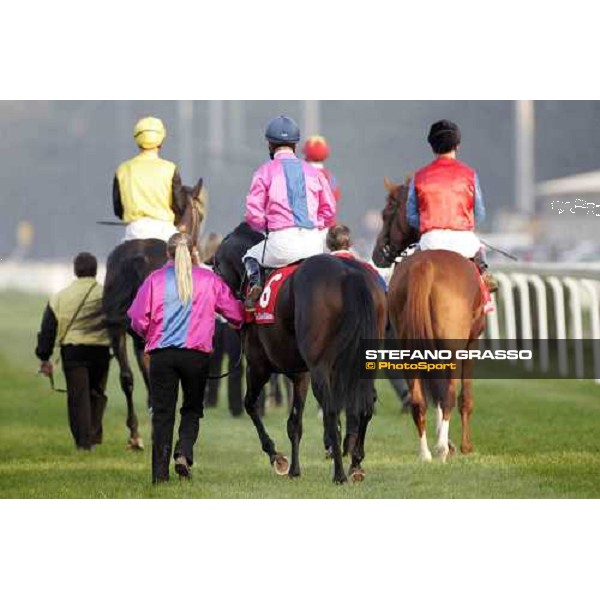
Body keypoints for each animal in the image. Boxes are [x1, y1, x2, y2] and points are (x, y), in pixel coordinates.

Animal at [213, 223, 386, 486]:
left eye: (215, 264)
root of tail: (349, 273)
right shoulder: (300, 374)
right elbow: (295, 422)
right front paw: (294, 469)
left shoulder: (258, 366)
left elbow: (250, 404)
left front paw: (277, 457)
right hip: (365, 360)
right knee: (366, 403)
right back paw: (355, 464)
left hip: (319, 367)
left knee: (332, 410)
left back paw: (339, 473)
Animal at [370, 176, 488, 462]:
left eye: (386, 214)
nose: (379, 253)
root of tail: (425, 266)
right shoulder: (471, 343)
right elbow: (464, 396)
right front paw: (464, 446)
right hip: (451, 344)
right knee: (449, 394)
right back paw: (442, 449)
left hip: (407, 344)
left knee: (419, 399)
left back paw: (425, 452)